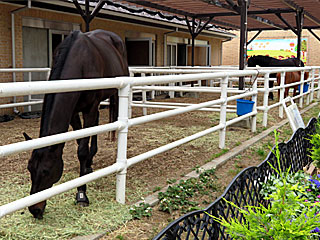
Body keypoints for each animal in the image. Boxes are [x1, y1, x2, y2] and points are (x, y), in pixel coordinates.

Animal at [23, 29, 129, 218]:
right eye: (29, 168)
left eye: (46, 171)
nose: (35, 210)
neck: (79, 62)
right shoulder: (73, 112)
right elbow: (80, 142)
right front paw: (85, 169)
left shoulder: (89, 108)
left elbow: (81, 150)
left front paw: (81, 194)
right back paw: (89, 163)